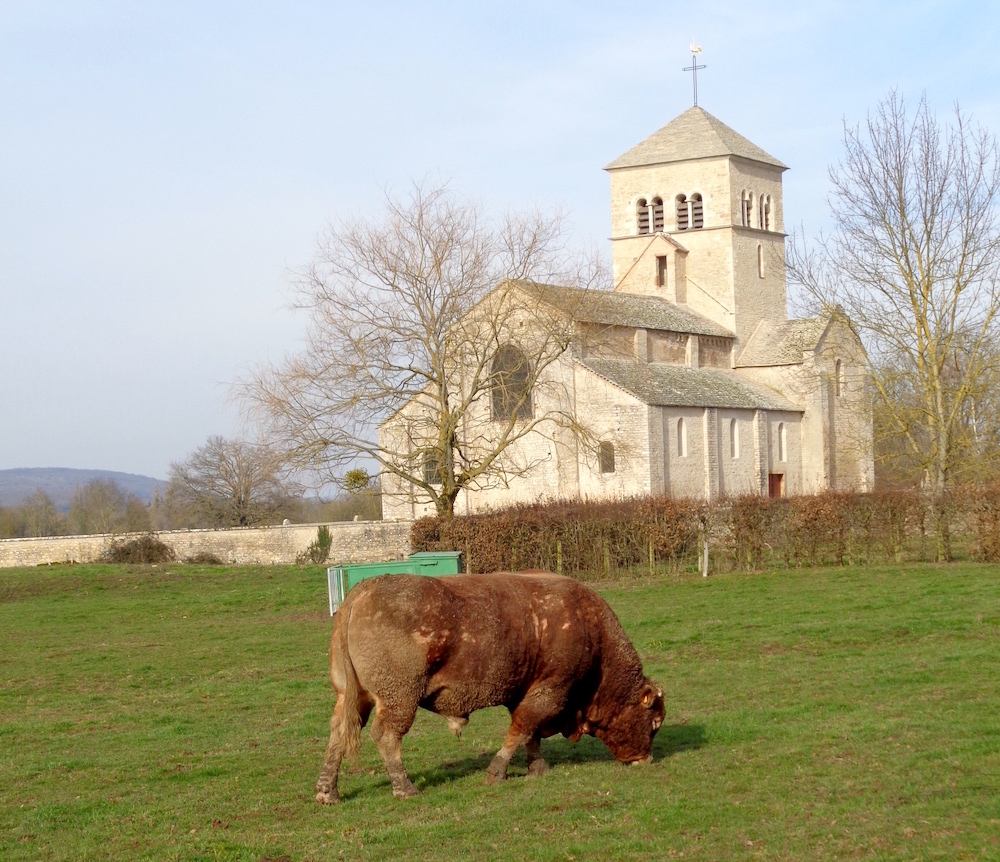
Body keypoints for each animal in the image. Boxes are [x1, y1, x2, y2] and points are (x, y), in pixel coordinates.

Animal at [316, 572, 668, 804]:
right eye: (653, 723)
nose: (646, 759)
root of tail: (363, 589)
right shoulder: (550, 691)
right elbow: (522, 730)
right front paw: (498, 771)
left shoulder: (526, 691)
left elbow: (531, 734)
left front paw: (537, 766)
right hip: (399, 698)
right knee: (387, 736)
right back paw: (405, 787)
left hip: (353, 695)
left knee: (338, 730)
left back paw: (327, 791)